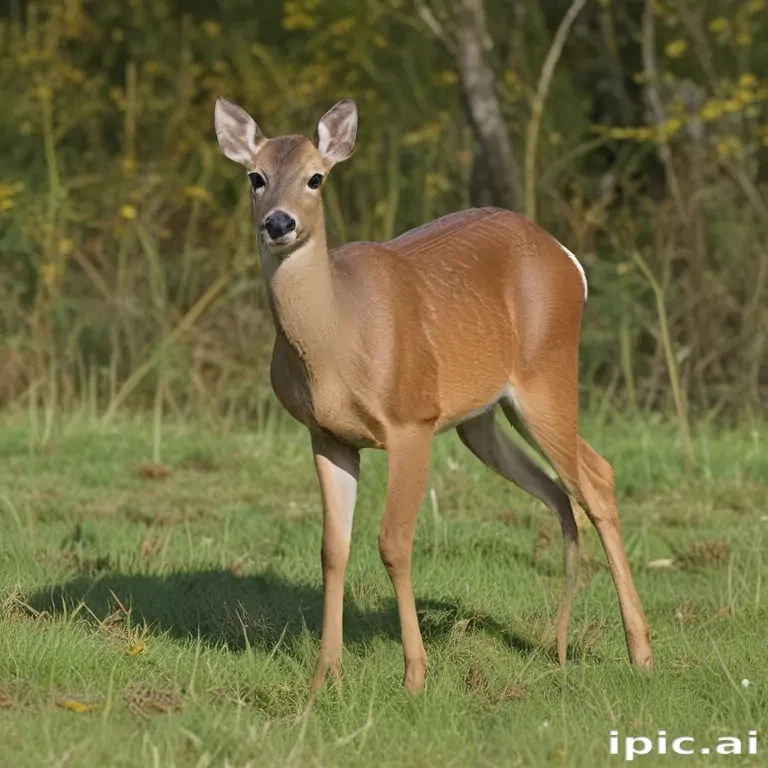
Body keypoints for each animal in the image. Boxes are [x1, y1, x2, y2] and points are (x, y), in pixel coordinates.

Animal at [213, 96, 653, 701]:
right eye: (255, 176)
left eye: (316, 177)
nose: (279, 223)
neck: (336, 342)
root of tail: (569, 260)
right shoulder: (326, 435)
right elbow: (332, 549)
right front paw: (324, 677)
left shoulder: (411, 420)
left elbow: (393, 543)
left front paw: (414, 676)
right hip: (483, 418)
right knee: (561, 491)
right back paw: (561, 648)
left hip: (548, 376)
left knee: (595, 480)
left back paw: (641, 653)